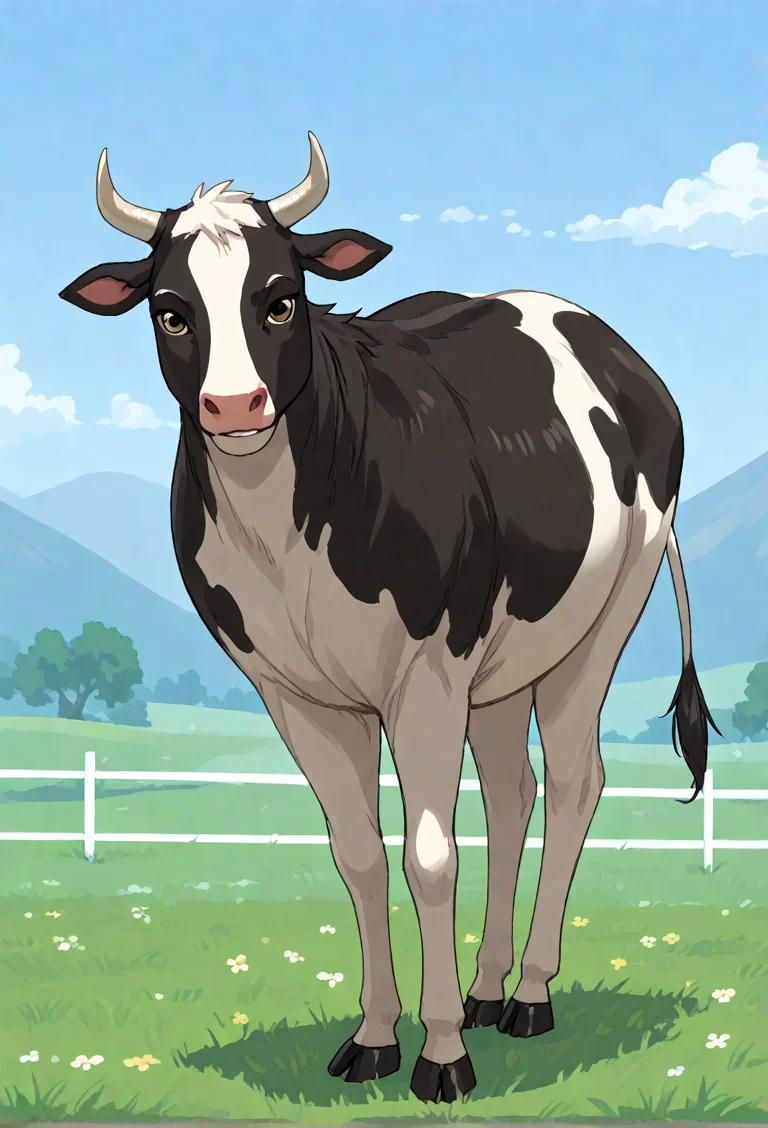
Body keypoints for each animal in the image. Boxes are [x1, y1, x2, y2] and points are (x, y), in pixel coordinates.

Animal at [60, 133, 718, 1105]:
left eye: (280, 298)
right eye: (172, 312)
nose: (234, 407)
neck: (287, 532)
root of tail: (608, 341)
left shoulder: (428, 671)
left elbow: (429, 856)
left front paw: (441, 1054)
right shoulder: (292, 690)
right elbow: (360, 854)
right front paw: (375, 1038)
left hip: (602, 618)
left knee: (573, 786)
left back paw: (528, 995)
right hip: (501, 659)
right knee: (515, 793)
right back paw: (487, 989)